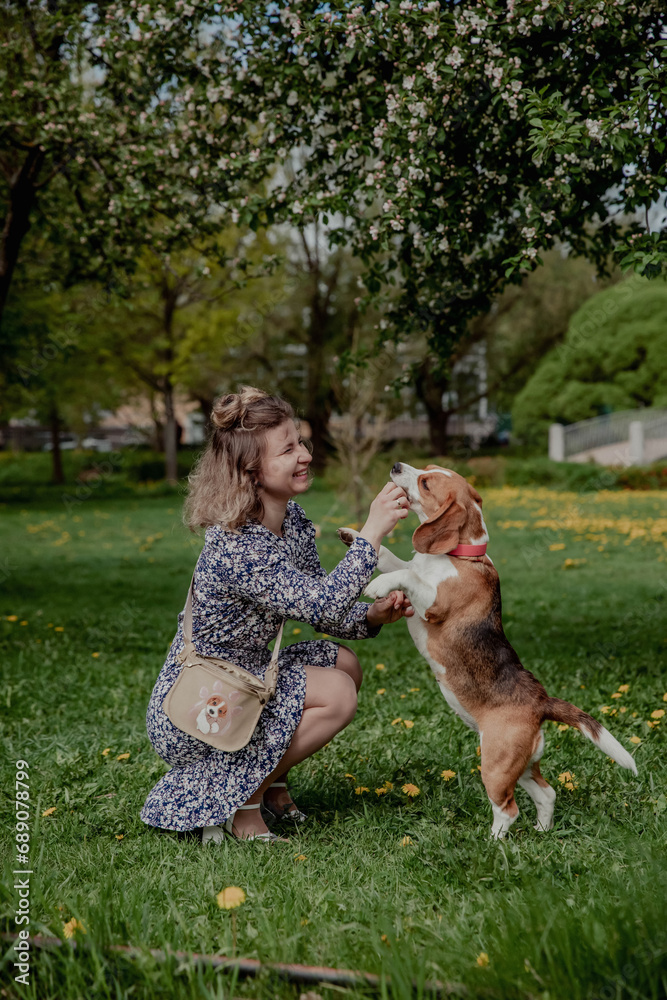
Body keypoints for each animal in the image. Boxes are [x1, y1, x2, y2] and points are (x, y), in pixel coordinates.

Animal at [340, 464, 636, 840]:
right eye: (427, 470)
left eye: (426, 481)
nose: (396, 467)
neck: (455, 555)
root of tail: (541, 701)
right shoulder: (415, 568)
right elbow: (394, 559)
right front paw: (354, 536)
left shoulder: (433, 603)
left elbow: (406, 573)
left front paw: (377, 584)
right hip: (520, 765)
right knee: (547, 793)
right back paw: (542, 831)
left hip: (495, 764)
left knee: (508, 809)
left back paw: (493, 842)